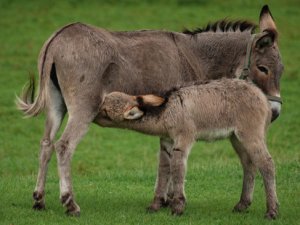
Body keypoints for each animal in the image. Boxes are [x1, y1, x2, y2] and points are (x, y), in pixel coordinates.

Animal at [98, 78, 278, 218]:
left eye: (105, 111)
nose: (93, 114)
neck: (167, 111)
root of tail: (262, 96)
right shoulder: (167, 141)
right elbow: (164, 169)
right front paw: (155, 205)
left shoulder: (183, 139)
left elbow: (177, 168)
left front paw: (178, 207)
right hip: (236, 138)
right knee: (249, 165)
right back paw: (242, 204)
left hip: (250, 134)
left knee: (266, 164)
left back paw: (272, 211)